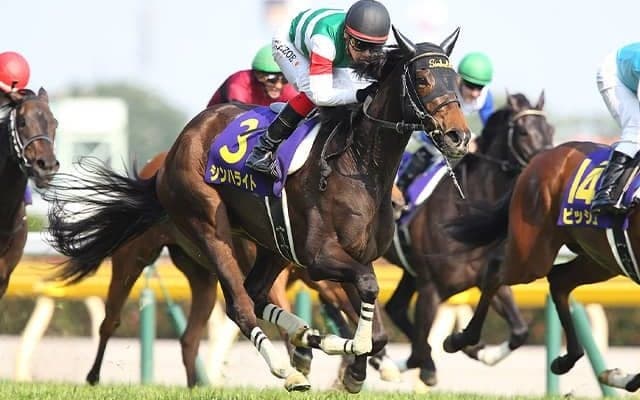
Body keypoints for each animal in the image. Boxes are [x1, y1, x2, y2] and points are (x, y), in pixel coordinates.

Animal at [45, 27, 470, 392]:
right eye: (423, 80)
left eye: (454, 83)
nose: (458, 136)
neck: (358, 164)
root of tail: (175, 150)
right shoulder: (319, 256)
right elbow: (367, 287)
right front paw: (349, 366)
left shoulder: (353, 256)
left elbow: (376, 329)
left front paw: (354, 368)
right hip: (199, 231)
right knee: (236, 305)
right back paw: (286, 369)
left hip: (270, 246)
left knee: (252, 295)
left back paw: (309, 338)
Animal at [379, 92, 554, 387]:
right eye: (523, 132)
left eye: (550, 130)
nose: (545, 169)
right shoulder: (431, 288)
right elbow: (420, 347)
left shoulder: (486, 276)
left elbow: (519, 331)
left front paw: (480, 352)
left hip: (411, 272)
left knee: (395, 307)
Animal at [442, 140, 640, 392]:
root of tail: (546, 154)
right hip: (532, 255)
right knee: (496, 269)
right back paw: (461, 339)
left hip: (602, 259)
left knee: (559, 279)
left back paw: (572, 361)